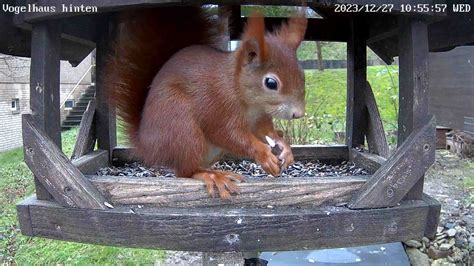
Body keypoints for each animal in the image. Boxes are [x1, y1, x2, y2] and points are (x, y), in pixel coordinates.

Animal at [105, 6, 308, 198]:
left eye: (302, 74)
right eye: (271, 83)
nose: (298, 114)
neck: (249, 101)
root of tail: (147, 146)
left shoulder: (260, 117)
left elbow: (265, 132)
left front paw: (285, 148)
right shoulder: (218, 105)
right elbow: (227, 134)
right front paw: (264, 154)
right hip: (182, 128)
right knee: (186, 171)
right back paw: (212, 176)